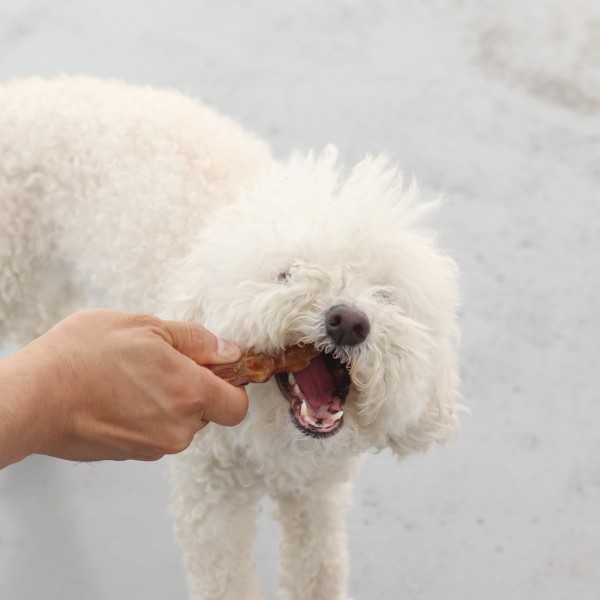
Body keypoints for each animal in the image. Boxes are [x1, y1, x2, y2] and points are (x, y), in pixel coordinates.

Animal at [0, 77, 462, 596]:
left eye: (384, 294)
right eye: (286, 274)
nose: (348, 321)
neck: (275, 449)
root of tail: (24, 90)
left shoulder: (317, 493)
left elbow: (318, 569)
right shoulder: (212, 499)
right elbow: (224, 578)